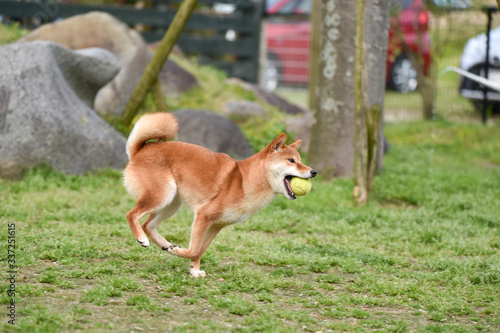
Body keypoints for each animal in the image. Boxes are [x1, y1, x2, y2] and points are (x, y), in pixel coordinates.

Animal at [123, 111, 316, 274]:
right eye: (291, 161)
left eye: (300, 160)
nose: (313, 172)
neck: (246, 181)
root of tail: (139, 150)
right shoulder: (203, 217)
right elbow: (193, 250)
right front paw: (179, 252)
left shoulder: (216, 225)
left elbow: (199, 251)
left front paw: (194, 270)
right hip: (162, 196)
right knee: (131, 214)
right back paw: (143, 239)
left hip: (172, 203)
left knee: (148, 224)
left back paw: (165, 244)